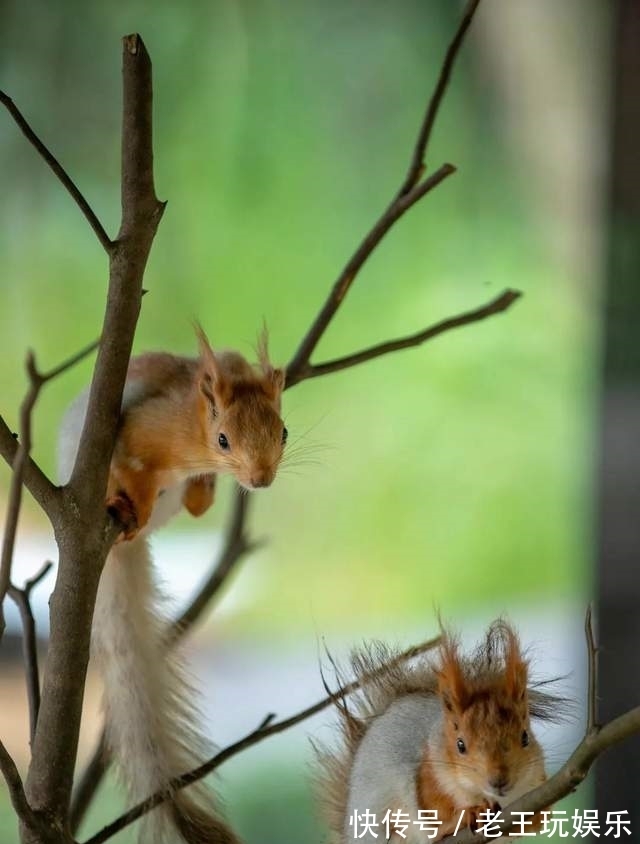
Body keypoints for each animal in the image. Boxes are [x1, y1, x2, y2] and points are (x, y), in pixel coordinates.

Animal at [57, 326, 288, 844]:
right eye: (223, 439)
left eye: (284, 432)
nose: (261, 479)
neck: (193, 429)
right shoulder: (141, 430)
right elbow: (133, 465)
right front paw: (136, 501)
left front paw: (208, 488)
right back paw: (124, 510)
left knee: (191, 506)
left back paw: (201, 493)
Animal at [316, 616, 564, 840]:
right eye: (460, 745)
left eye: (525, 738)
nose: (499, 780)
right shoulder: (429, 779)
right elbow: (436, 815)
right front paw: (470, 814)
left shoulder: (536, 785)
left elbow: (539, 821)